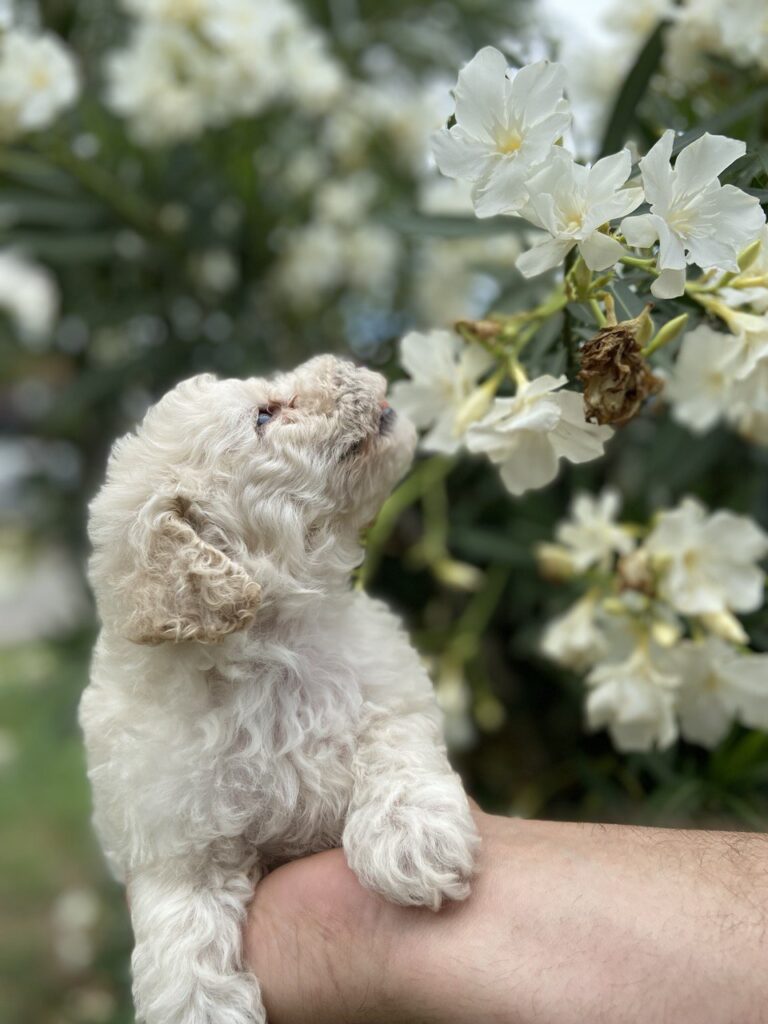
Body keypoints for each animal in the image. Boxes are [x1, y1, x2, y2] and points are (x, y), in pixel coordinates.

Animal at [78, 356, 475, 1024]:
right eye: (265, 415)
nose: (340, 362)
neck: (269, 654)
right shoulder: (167, 832)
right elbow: (179, 916)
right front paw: (198, 1005)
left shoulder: (389, 682)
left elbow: (391, 742)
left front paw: (413, 839)